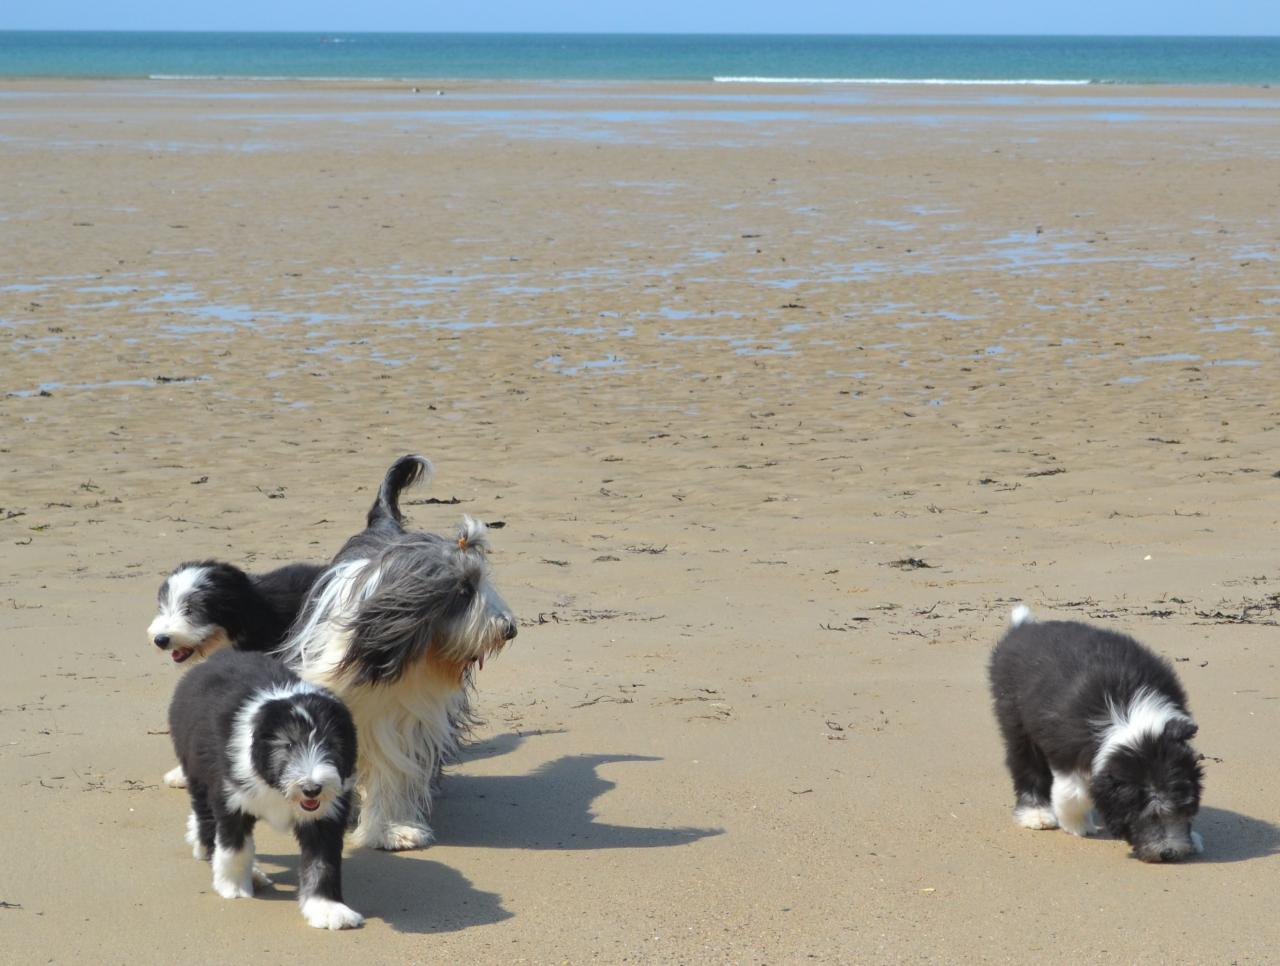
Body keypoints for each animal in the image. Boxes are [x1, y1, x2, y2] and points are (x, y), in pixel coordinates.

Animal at [167, 649, 363, 931]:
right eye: (288, 745)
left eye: (331, 744)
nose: (312, 789)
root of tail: (219, 655)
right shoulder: (231, 797)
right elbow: (235, 848)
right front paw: (234, 886)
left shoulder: (326, 815)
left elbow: (322, 863)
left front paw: (327, 909)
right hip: (197, 772)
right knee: (206, 819)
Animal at [988, 609, 1198, 864]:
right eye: (1148, 814)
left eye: (1183, 807)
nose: (1168, 853)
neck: (1128, 715)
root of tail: (1023, 629)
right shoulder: (1065, 747)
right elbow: (1075, 792)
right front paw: (1076, 823)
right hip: (1016, 720)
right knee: (1027, 765)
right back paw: (1036, 814)